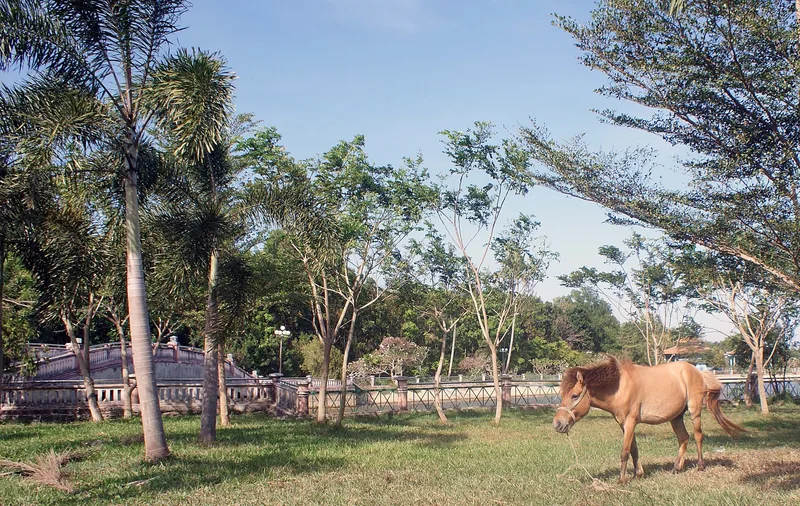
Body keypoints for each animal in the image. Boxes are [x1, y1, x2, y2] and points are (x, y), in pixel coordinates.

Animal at [552, 357, 745, 484]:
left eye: (574, 395)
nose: (557, 423)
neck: (619, 386)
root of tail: (698, 371)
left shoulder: (630, 422)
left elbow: (624, 452)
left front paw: (622, 480)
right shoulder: (624, 424)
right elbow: (634, 450)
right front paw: (638, 474)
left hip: (694, 411)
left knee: (698, 436)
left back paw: (700, 466)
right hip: (676, 417)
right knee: (683, 438)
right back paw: (676, 468)